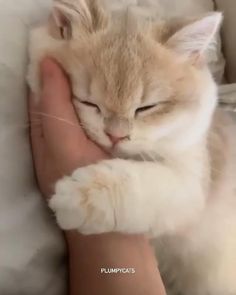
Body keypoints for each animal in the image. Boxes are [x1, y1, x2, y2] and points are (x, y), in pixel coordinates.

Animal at [27, 0, 236, 295]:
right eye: (89, 103)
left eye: (146, 108)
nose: (116, 136)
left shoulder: (190, 184)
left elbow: (137, 182)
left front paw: (80, 196)